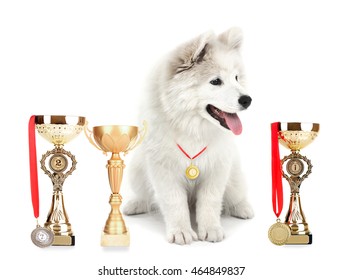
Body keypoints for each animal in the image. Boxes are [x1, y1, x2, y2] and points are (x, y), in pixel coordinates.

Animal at [125, 26, 254, 245]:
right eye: (215, 81)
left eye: (236, 78)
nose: (247, 100)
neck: (192, 127)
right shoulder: (163, 170)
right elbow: (174, 202)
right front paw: (181, 231)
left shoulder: (217, 167)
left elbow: (210, 201)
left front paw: (210, 229)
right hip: (136, 169)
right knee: (146, 195)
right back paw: (135, 204)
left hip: (234, 174)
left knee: (235, 195)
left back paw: (242, 208)